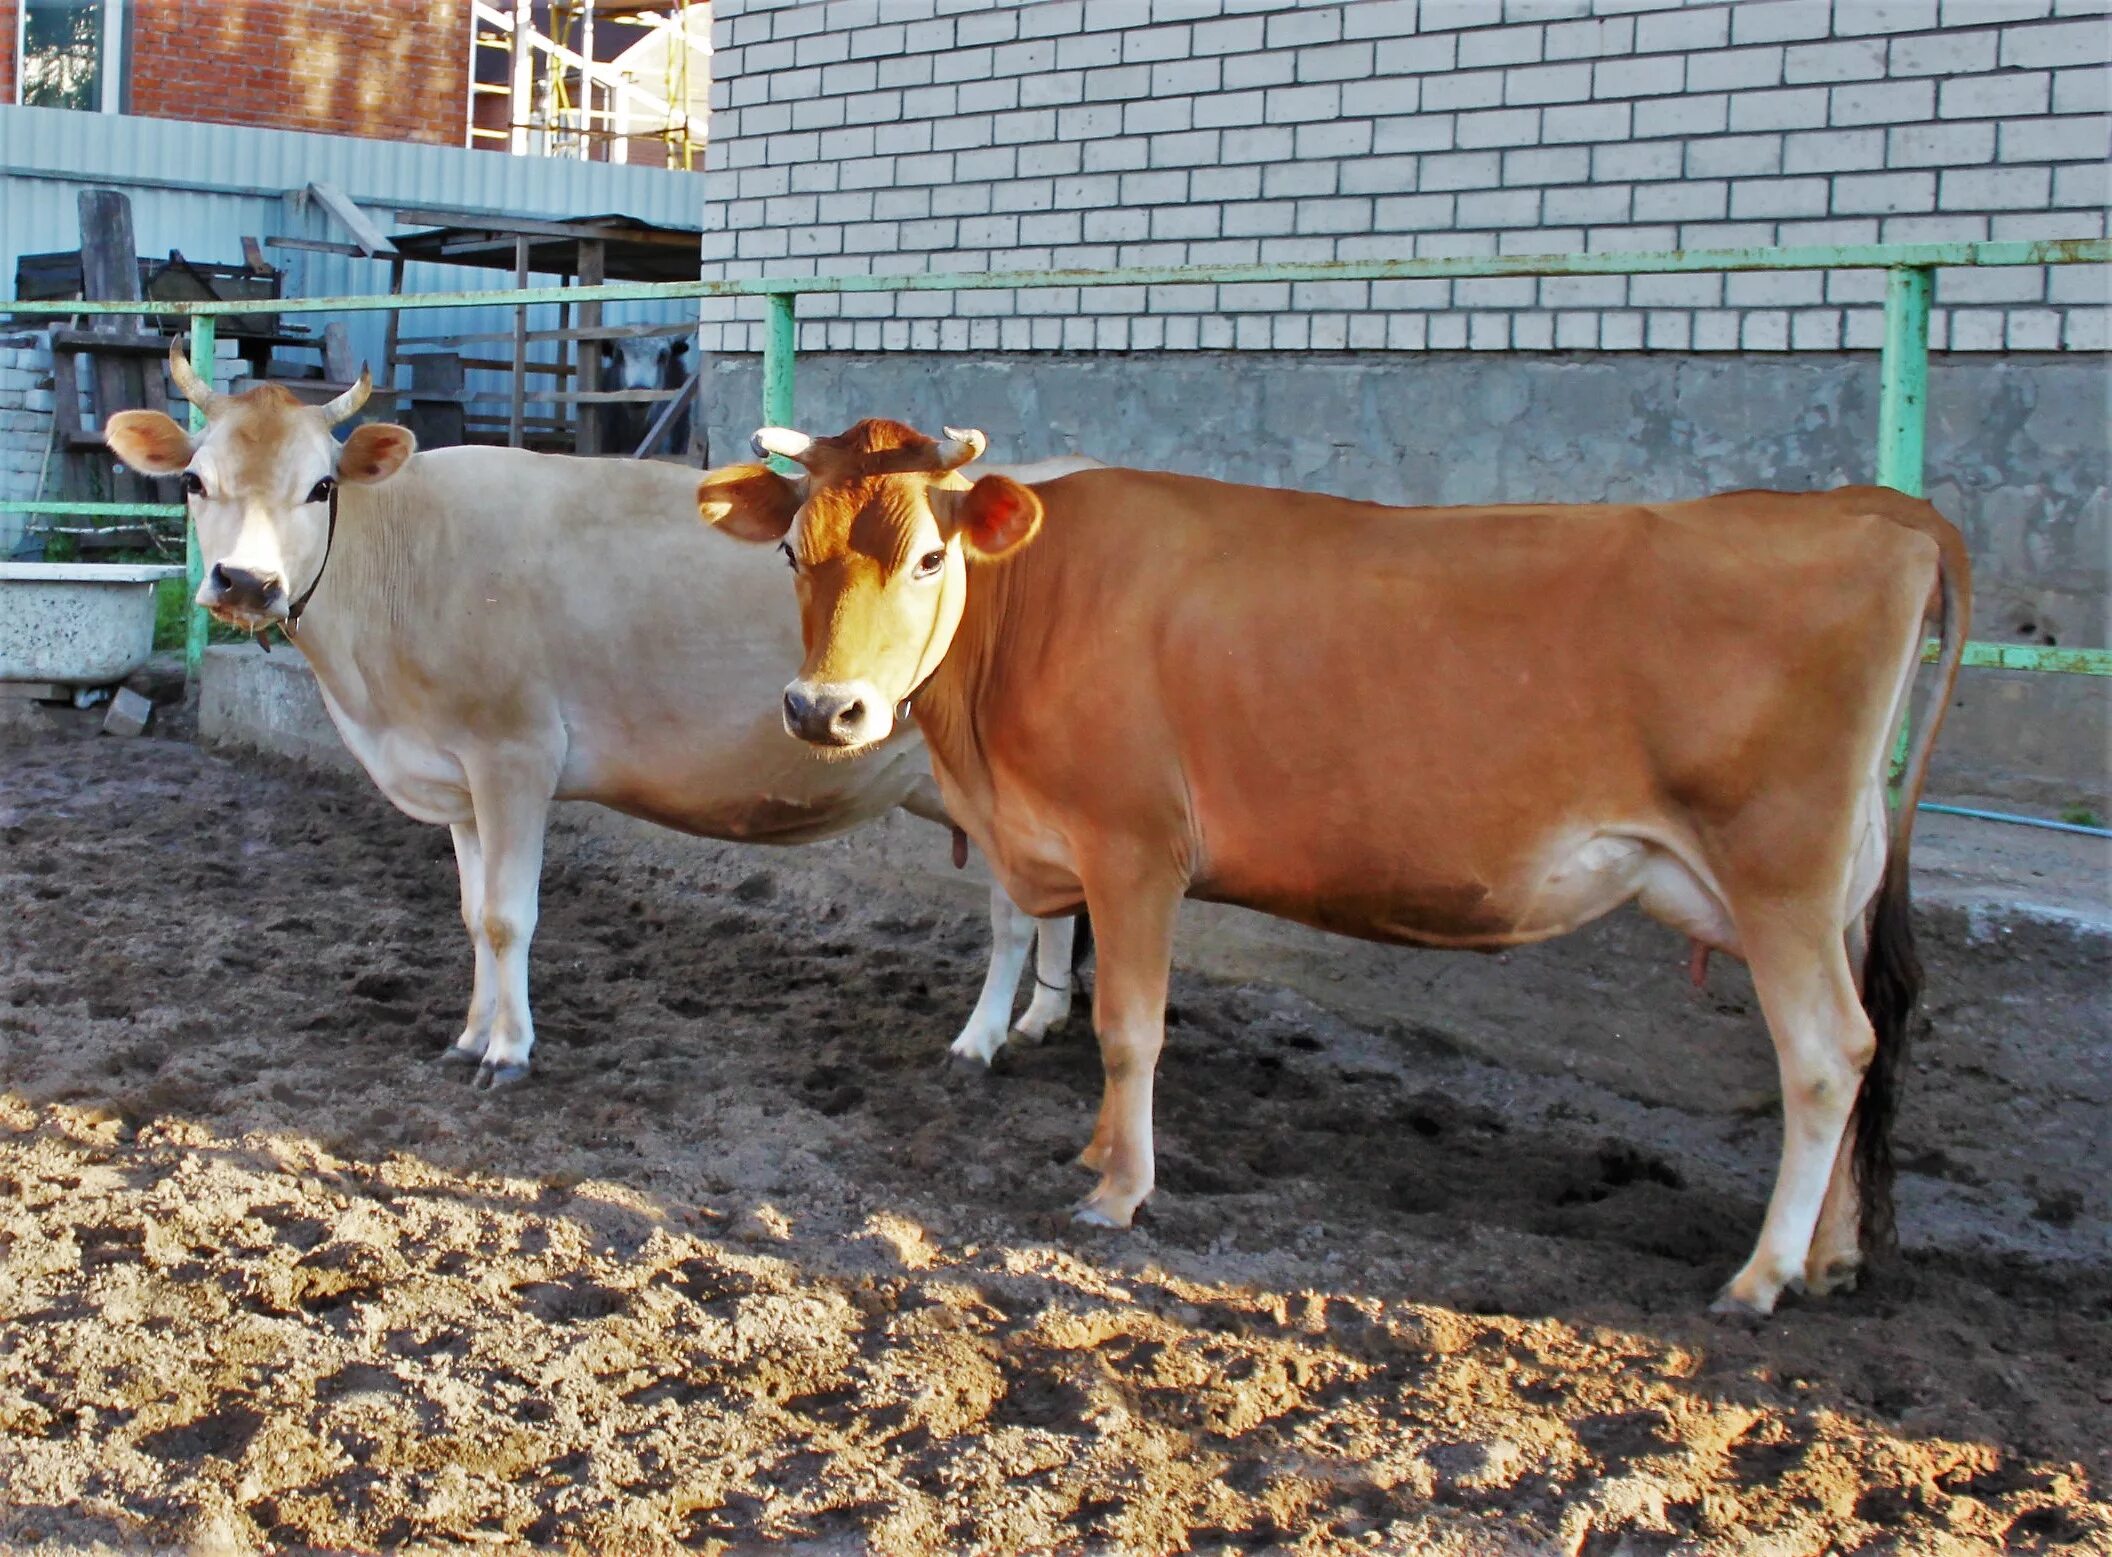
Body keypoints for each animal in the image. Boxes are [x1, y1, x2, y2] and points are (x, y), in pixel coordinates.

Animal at [107, 348, 1081, 1081]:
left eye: (318, 487)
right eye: (193, 480)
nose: (245, 581)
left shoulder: (513, 754)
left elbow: (509, 915)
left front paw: (507, 1052)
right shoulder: (455, 775)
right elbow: (472, 912)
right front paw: (468, 1032)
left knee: (1012, 914)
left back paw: (980, 1040)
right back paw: (1038, 1021)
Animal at [701, 416, 1968, 1309]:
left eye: (928, 555)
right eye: (790, 550)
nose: (824, 709)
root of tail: (1878, 513)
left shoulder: (1134, 848)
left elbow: (1129, 1027)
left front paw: (1119, 1189)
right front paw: (1094, 1150)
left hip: (1779, 872)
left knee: (1827, 1055)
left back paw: (1762, 1277)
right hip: (1836, 886)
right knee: (1867, 1052)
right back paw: (1834, 1258)